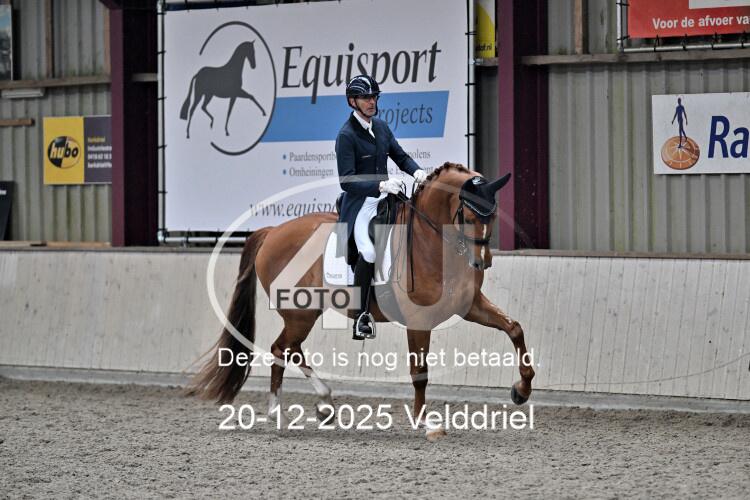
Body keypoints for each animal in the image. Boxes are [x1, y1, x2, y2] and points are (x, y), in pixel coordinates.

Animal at [186, 162, 535, 438]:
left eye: (492, 214)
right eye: (468, 215)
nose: (482, 262)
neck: (434, 242)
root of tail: (272, 231)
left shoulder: (471, 306)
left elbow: (514, 328)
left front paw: (521, 390)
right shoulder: (418, 320)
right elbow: (419, 371)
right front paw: (425, 422)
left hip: (305, 313)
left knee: (288, 349)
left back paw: (320, 405)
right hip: (300, 312)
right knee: (281, 348)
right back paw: (282, 411)